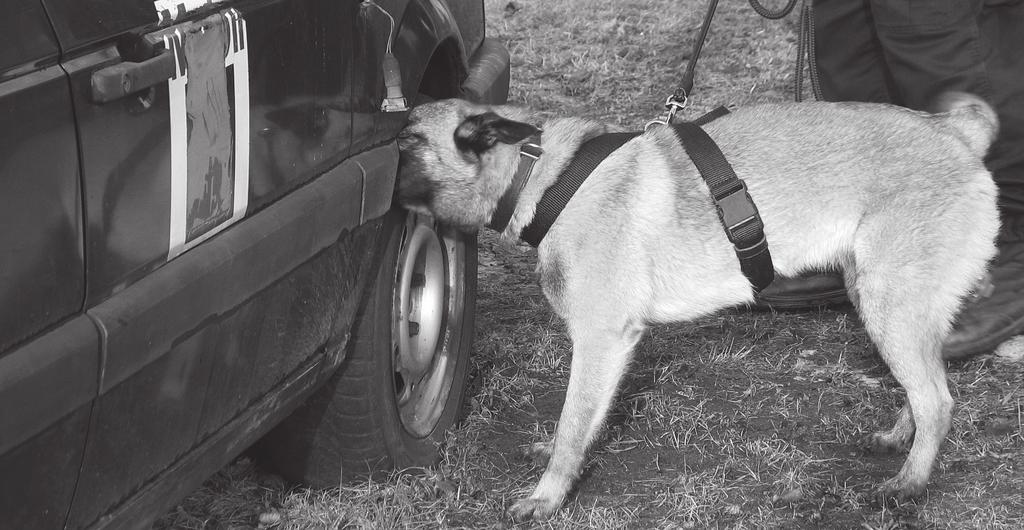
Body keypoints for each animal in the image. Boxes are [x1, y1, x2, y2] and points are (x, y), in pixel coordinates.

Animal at [393, 93, 999, 521]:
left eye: (404, 141)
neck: (542, 173)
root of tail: (956, 132)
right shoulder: (611, 348)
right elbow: (582, 422)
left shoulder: (601, 339)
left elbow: (571, 423)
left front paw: (548, 496)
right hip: (884, 302)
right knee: (925, 388)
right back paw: (900, 438)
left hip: (887, 302)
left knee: (938, 400)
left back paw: (910, 484)